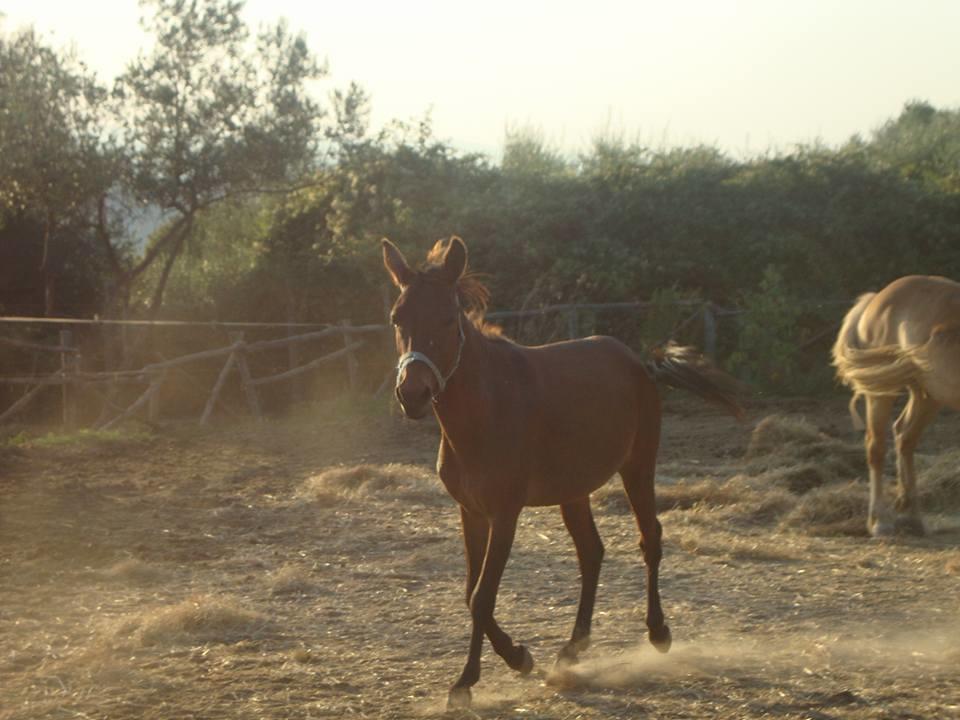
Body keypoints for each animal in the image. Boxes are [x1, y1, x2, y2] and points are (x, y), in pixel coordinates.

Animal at [382, 236, 744, 708]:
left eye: (447, 318)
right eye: (397, 318)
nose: (413, 394)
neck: (486, 409)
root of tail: (639, 363)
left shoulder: (505, 513)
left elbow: (482, 596)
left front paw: (468, 680)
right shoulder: (471, 512)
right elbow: (471, 593)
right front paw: (518, 657)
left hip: (637, 467)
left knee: (650, 539)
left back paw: (658, 632)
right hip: (574, 491)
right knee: (592, 553)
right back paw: (571, 650)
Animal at [832, 274, 960, 536]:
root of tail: (876, 298)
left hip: (927, 395)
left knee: (905, 437)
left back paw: (912, 516)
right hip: (881, 390)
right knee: (877, 447)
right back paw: (880, 522)